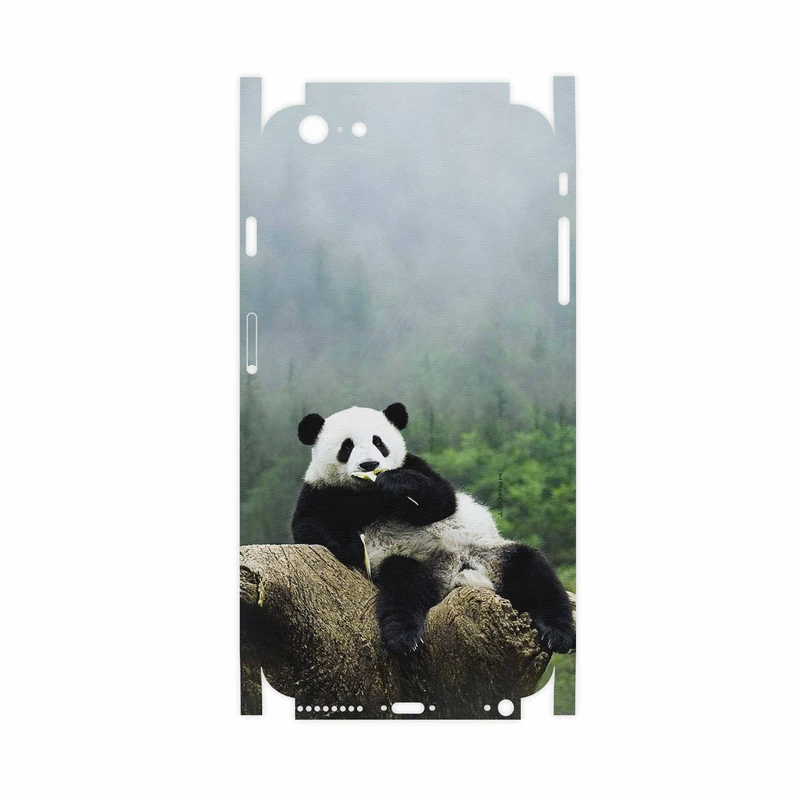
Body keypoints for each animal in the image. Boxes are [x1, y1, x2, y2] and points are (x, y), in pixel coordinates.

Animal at [291, 402, 576, 655]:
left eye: (379, 442)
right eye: (347, 446)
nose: (370, 465)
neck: (368, 493)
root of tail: (458, 572)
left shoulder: (416, 465)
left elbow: (442, 500)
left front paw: (396, 483)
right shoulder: (321, 491)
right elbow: (309, 527)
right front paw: (353, 547)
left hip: (489, 552)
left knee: (532, 570)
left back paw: (558, 633)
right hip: (414, 562)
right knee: (403, 586)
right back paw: (404, 637)